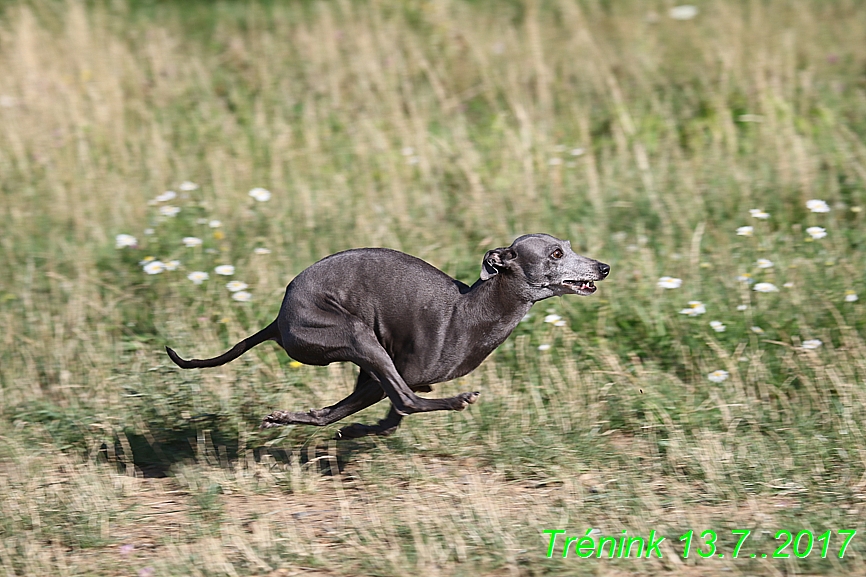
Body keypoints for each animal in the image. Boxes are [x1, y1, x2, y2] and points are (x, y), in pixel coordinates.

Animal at [165, 233, 604, 436]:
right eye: (556, 254)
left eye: (567, 245)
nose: (604, 267)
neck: (471, 311)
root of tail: (279, 319)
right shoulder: (398, 372)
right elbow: (401, 406)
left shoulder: (382, 379)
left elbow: (381, 417)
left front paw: (353, 430)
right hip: (356, 335)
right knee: (407, 401)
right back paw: (458, 400)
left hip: (367, 357)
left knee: (339, 412)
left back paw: (292, 418)